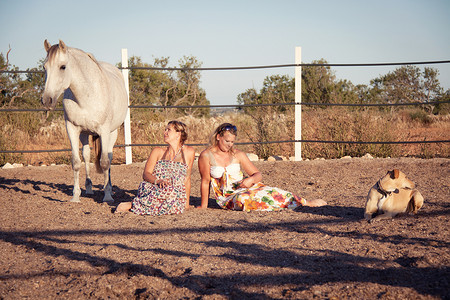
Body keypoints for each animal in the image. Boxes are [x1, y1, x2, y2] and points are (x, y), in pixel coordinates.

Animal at [42, 39, 127, 203]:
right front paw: (75, 196)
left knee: (109, 157)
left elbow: (104, 162)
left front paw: (107, 195)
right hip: (84, 133)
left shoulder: (104, 131)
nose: (46, 100)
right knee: (86, 155)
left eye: (63, 67)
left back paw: (109, 188)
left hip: (113, 132)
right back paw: (88, 188)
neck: (87, 95)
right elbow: (76, 162)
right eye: (44, 67)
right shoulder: (72, 129)